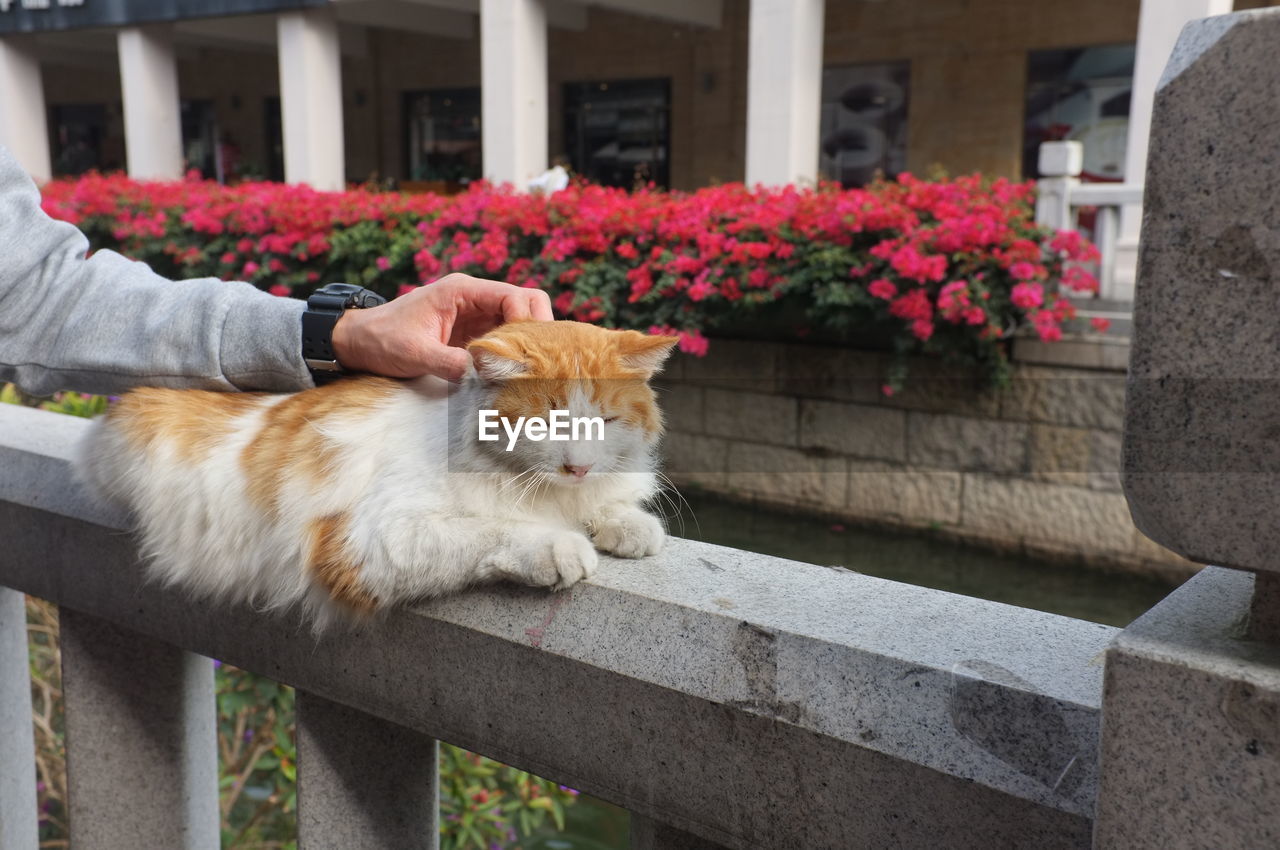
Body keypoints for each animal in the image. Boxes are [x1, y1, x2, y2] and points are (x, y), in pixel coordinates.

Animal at [77, 322, 680, 627]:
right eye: (544, 423)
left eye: (605, 421)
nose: (577, 464)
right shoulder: (370, 542)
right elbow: (493, 531)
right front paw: (559, 546)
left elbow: (608, 506)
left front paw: (627, 524)